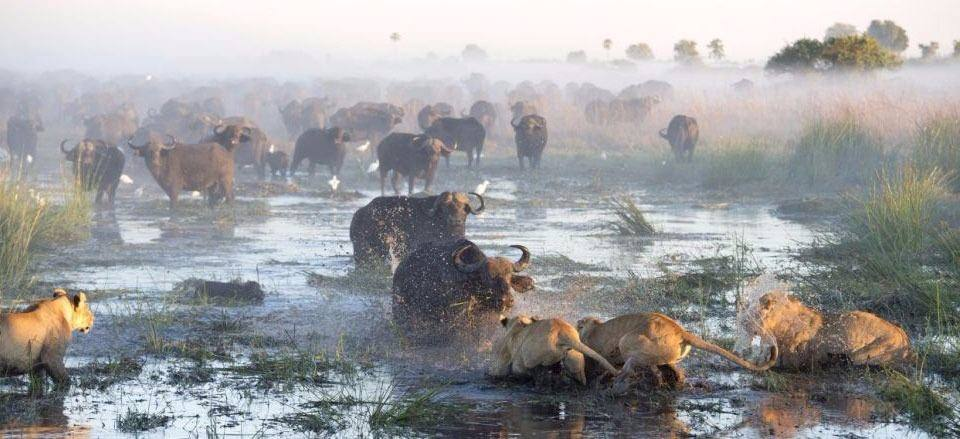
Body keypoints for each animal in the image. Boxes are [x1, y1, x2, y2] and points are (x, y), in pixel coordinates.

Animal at [492, 316, 620, 384]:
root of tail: (563, 331)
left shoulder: (508, 360)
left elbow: (503, 371)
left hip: (535, 355)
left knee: (540, 369)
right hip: (574, 357)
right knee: (577, 374)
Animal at [576, 312, 780, 390]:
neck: (593, 327)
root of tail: (681, 331)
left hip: (629, 341)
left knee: (634, 363)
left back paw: (621, 378)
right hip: (666, 353)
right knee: (670, 369)